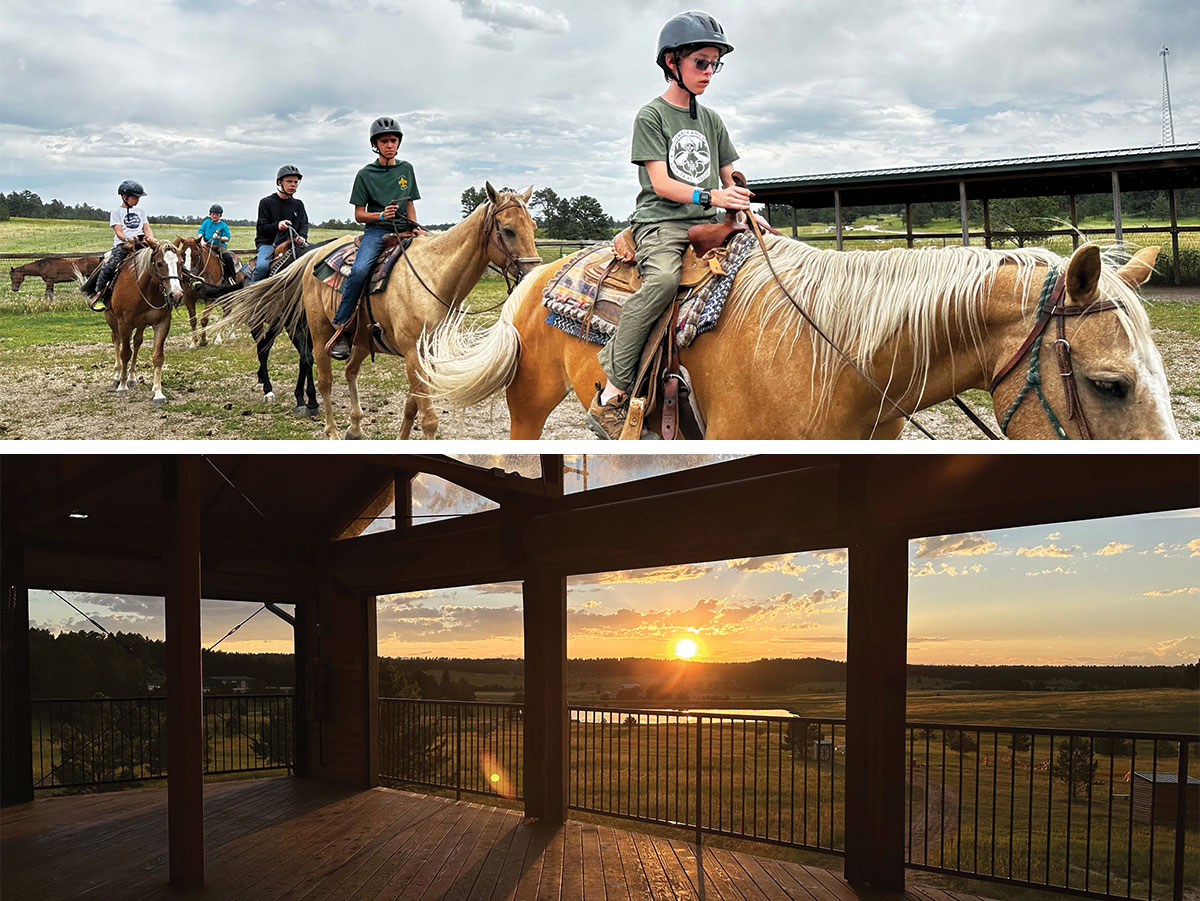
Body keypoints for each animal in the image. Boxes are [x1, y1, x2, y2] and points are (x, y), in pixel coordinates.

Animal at [94, 243, 187, 405]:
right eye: (159, 263)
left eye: (181, 263)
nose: (176, 295)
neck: (145, 289)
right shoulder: (124, 324)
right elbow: (125, 353)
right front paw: (122, 386)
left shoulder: (162, 323)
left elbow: (158, 357)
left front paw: (158, 392)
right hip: (112, 320)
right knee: (116, 341)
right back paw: (117, 377)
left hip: (141, 324)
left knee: (137, 342)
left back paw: (132, 378)